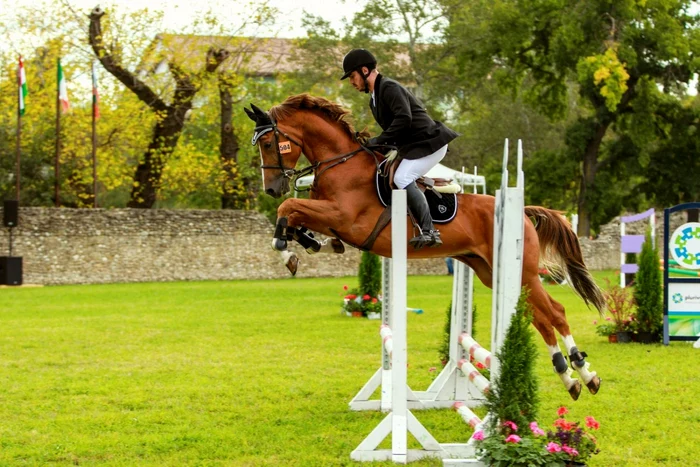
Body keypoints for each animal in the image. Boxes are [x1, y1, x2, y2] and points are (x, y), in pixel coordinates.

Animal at [243, 93, 604, 400]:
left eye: (268, 142)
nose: (271, 188)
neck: (341, 163)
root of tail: (523, 212)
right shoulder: (330, 219)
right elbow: (295, 216)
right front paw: (299, 246)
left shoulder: (343, 218)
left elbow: (288, 207)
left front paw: (287, 250)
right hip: (493, 274)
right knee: (540, 317)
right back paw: (570, 378)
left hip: (524, 273)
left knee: (555, 313)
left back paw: (583, 374)